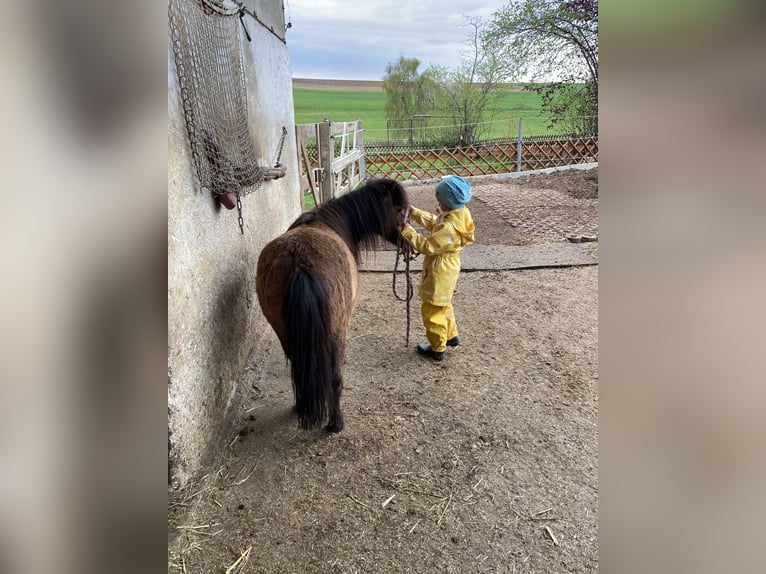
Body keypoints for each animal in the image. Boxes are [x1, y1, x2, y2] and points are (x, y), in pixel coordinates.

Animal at [256, 179, 414, 432]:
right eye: (399, 210)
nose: (409, 244)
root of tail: (300, 262)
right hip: (336, 331)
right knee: (334, 377)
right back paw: (335, 422)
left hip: (285, 333)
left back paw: (301, 407)